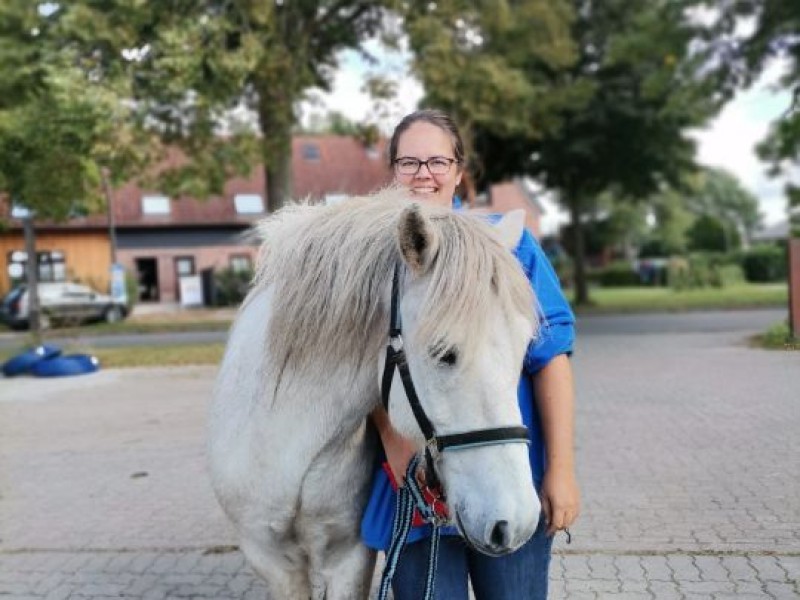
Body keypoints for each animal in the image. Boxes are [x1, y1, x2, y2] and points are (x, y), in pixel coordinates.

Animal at [208, 188, 542, 599]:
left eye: (524, 346)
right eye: (443, 352)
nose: (517, 522)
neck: (288, 444)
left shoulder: (349, 557)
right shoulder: (273, 563)